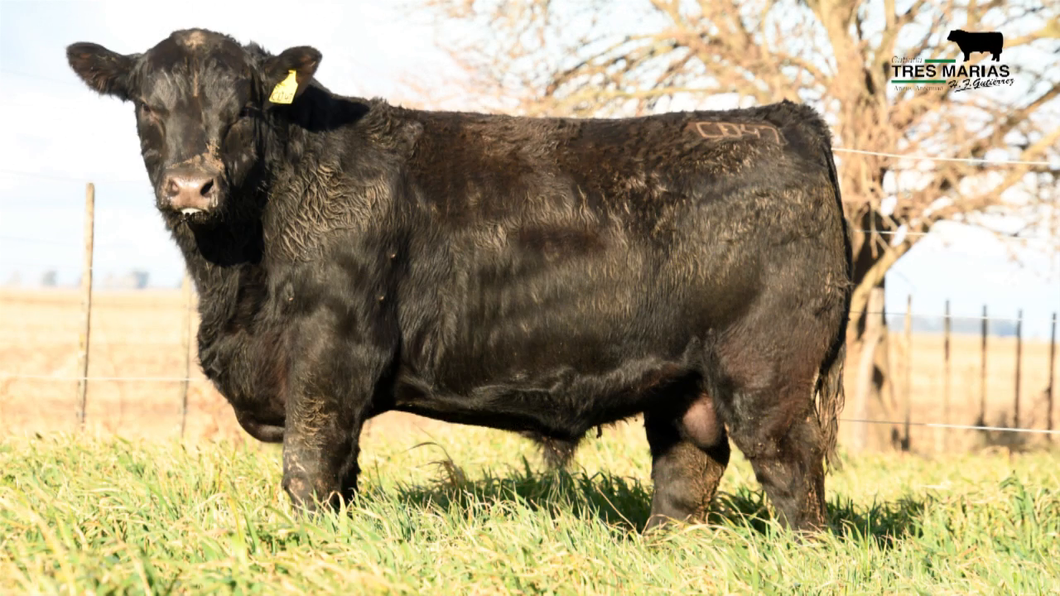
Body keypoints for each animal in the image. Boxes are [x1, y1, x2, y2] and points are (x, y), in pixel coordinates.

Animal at [67, 29, 851, 532]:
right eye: (148, 106)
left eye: (245, 109)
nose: (191, 185)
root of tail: (784, 118)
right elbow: (342, 474)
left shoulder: (330, 353)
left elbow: (310, 467)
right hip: (687, 386)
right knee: (687, 477)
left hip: (766, 374)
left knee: (794, 477)